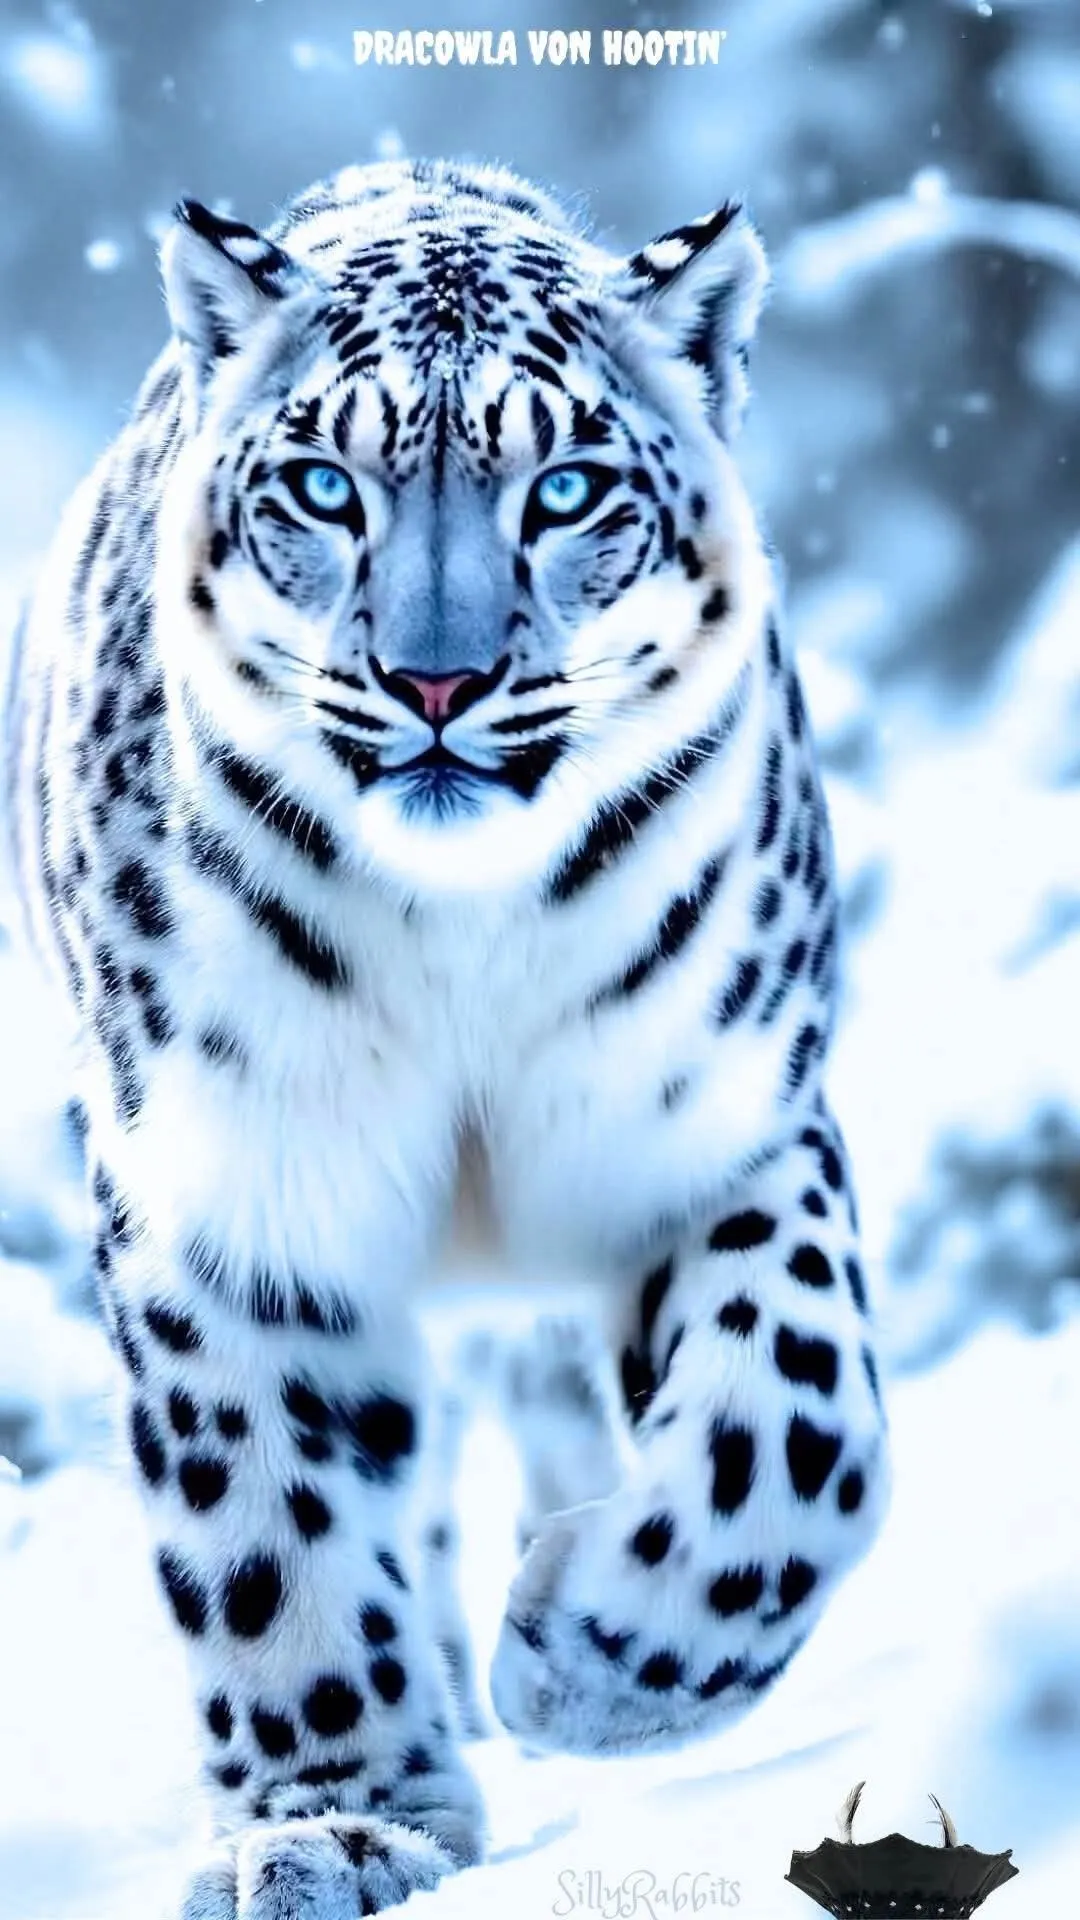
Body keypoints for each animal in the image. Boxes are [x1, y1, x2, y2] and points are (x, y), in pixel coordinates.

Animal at [3, 156, 890, 1919]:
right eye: (323, 487)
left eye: (568, 490)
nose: (435, 678)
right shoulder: (227, 1191)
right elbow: (265, 1520)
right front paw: (341, 1822)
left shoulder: (719, 1129)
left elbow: (799, 1420)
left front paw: (589, 1655)